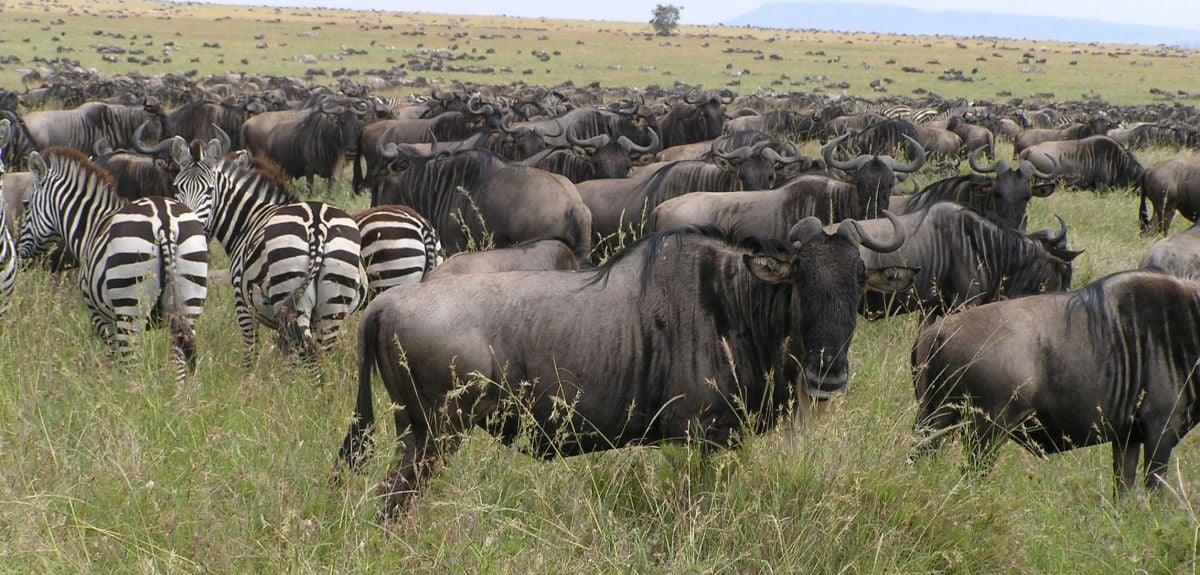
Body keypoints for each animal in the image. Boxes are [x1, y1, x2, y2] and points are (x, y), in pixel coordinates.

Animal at [18, 147, 209, 382]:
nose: (22, 257)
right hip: (190, 300)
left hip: (129, 305)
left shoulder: (99, 315)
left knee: (132, 364)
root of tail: (164, 221)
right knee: (179, 363)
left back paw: (131, 392)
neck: (91, 227)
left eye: (26, 205)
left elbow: (115, 359)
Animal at [174, 151, 367, 376]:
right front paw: (285, 381)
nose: (190, 227)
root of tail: (317, 225)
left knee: (308, 353)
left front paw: (251, 380)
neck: (247, 221)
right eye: (177, 188)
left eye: (210, 190)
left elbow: (251, 349)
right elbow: (289, 358)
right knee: (320, 352)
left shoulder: (242, 301)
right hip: (332, 302)